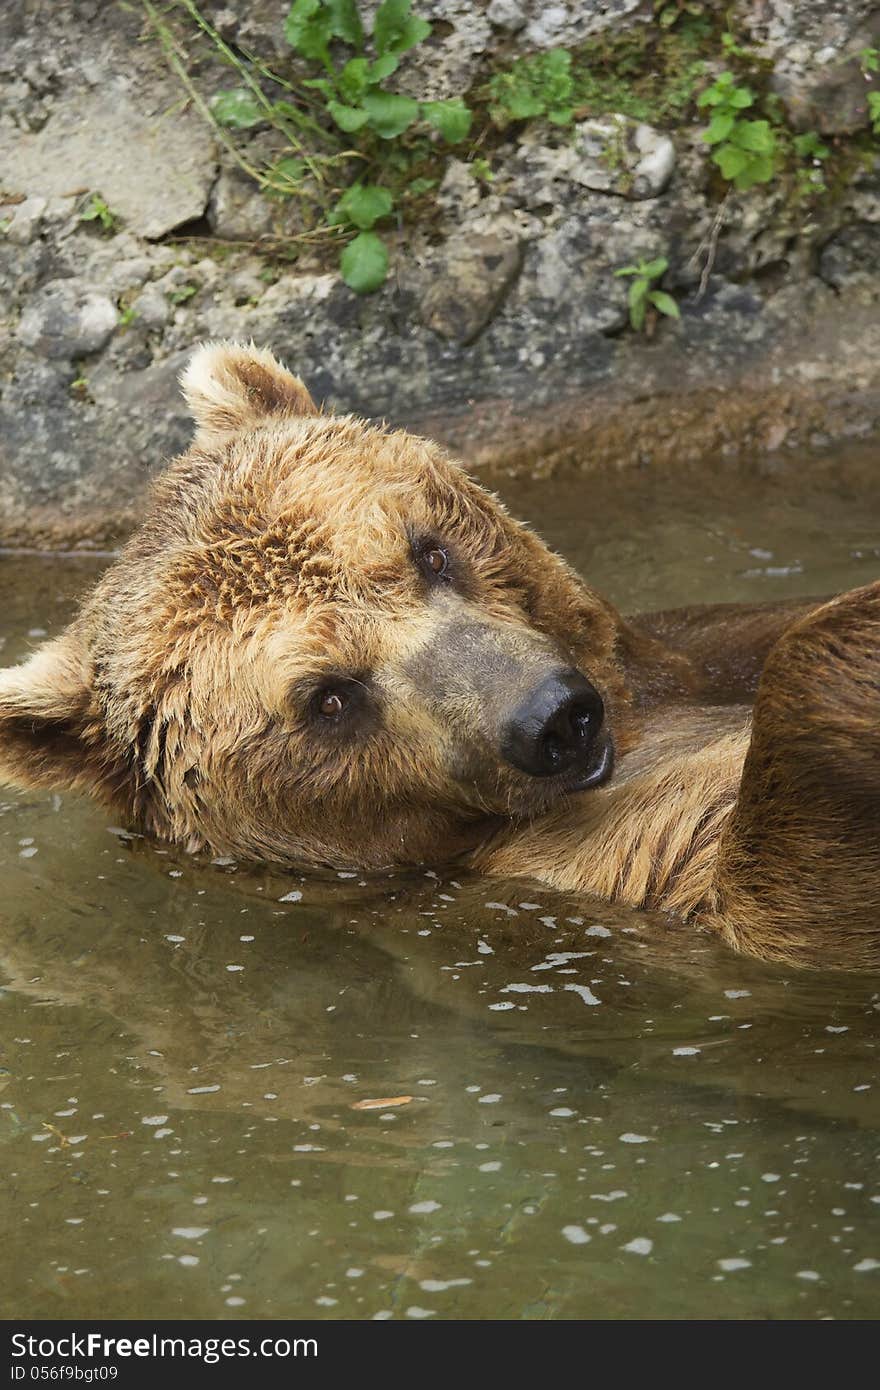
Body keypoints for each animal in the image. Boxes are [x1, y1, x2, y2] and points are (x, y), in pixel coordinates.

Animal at [1, 340, 878, 967]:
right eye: (329, 697)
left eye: (428, 550)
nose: (554, 716)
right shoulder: (587, 878)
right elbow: (775, 901)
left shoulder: (698, 651)